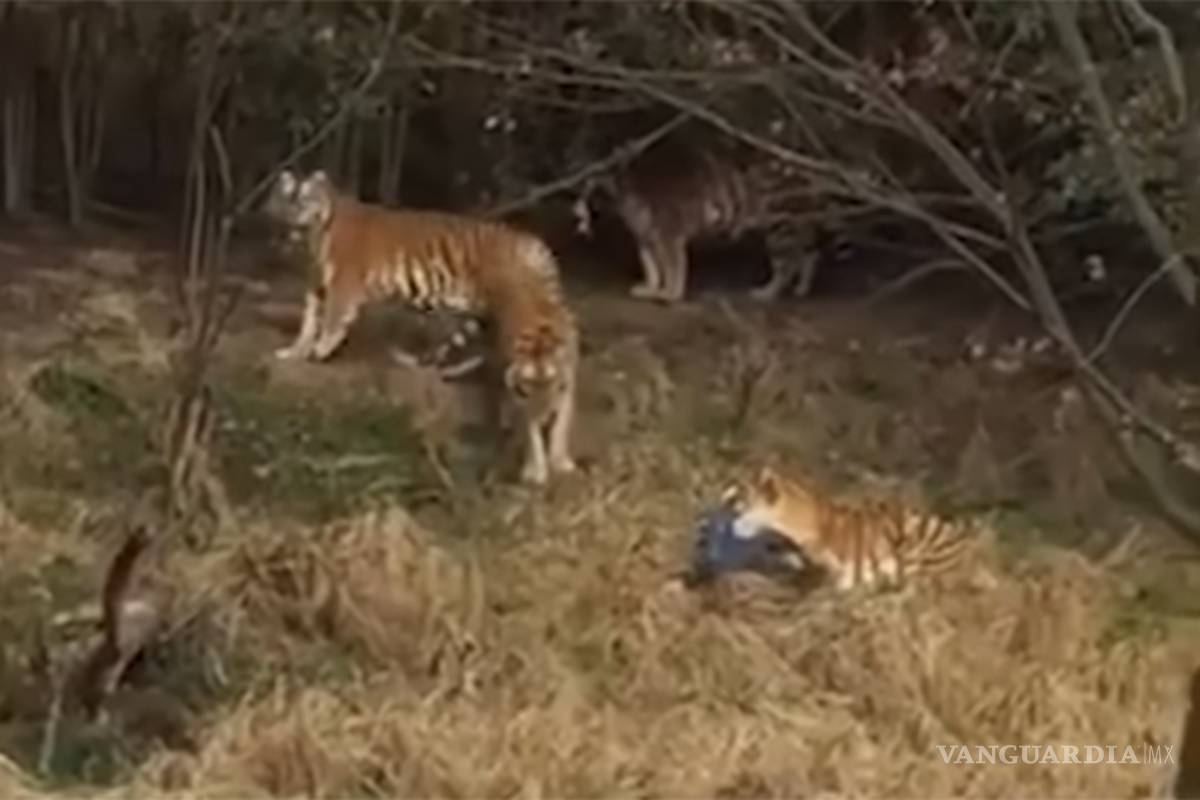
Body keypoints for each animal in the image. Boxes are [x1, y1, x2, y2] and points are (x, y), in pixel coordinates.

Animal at [263, 169, 578, 485]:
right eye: (287, 198)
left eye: (305, 199)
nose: (294, 213)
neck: (313, 236)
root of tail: (532, 242)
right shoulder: (315, 285)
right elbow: (308, 322)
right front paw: (294, 351)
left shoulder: (343, 284)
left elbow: (330, 322)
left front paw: (319, 351)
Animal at [572, 143, 836, 304]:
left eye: (589, 188)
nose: (575, 208)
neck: (624, 195)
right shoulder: (645, 237)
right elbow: (651, 266)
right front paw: (651, 287)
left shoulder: (668, 236)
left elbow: (672, 266)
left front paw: (670, 294)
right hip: (793, 225)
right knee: (809, 254)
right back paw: (802, 288)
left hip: (781, 228)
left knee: (787, 264)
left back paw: (767, 292)